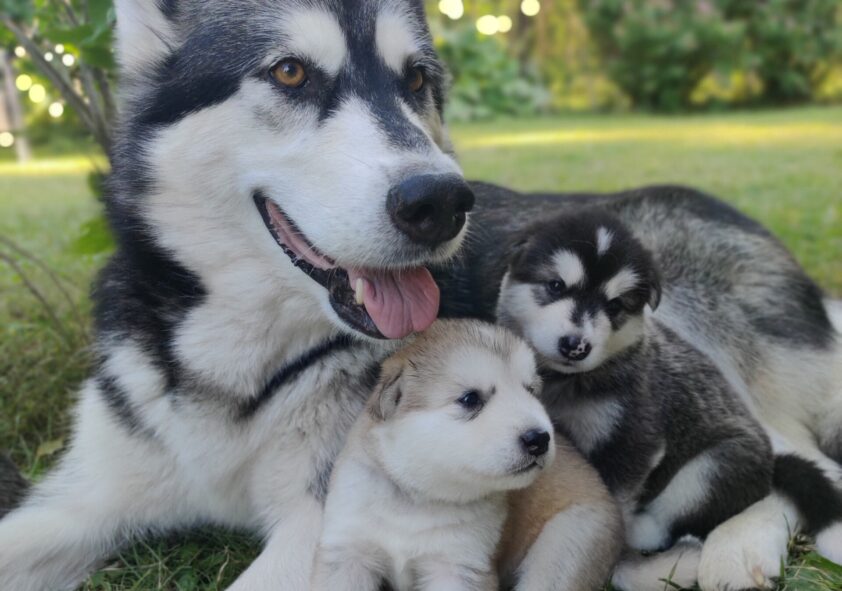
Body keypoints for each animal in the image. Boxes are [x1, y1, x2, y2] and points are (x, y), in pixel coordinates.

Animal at [314, 319, 622, 591]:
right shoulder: (348, 552)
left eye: (531, 391)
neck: (417, 498)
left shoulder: (459, 566)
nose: (539, 439)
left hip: (566, 545)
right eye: (470, 399)